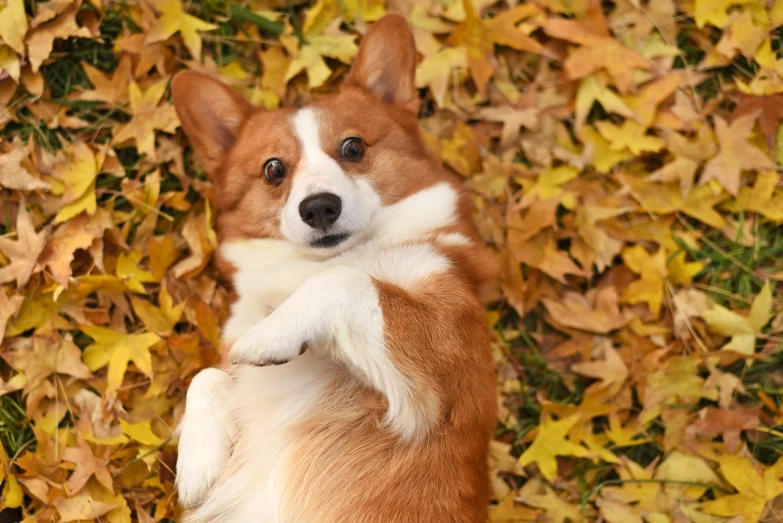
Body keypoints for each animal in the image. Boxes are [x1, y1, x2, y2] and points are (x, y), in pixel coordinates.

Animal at [173, 14, 496, 520]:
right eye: (273, 169)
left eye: (353, 147)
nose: (320, 207)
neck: (311, 265)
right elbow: (208, 375)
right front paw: (197, 466)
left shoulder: (444, 369)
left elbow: (347, 280)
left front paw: (271, 334)